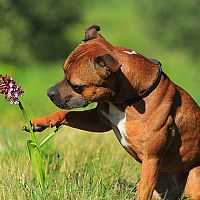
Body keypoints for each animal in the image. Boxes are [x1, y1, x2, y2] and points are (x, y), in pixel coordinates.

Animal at [25, 25, 200, 199]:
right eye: (63, 72)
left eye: (76, 86)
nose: (49, 93)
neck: (129, 100)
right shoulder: (99, 119)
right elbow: (66, 114)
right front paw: (39, 122)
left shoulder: (152, 159)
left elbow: (143, 192)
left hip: (193, 179)